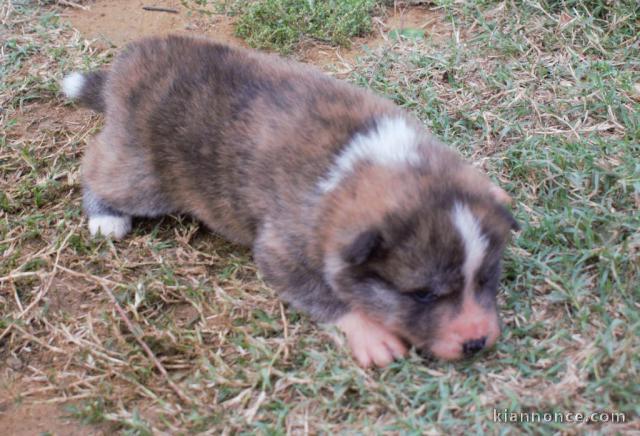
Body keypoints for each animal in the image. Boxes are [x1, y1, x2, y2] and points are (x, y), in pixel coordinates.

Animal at [62, 35, 516, 368]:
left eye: (485, 278)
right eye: (422, 295)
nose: (476, 342)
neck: (371, 161)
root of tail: (125, 65)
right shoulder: (281, 249)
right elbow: (323, 293)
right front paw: (371, 333)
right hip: (143, 176)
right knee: (96, 164)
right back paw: (105, 217)